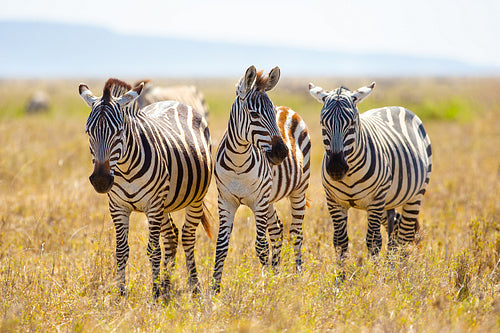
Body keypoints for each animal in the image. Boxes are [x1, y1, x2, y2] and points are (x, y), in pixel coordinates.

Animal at [79, 78, 212, 298]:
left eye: (120, 131)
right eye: (89, 132)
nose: (101, 180)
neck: (125, 169)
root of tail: (174, 101)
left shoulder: (153, 205)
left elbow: (153, 250)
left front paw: (155, 293)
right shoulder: (118, 207)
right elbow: (121, 250)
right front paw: (121, 294)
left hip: (195, 198)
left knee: (187, 236)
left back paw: (194, 287)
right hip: (165, 204)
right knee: (171, 236)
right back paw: (167, 286)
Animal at [212, 65, 312, 290]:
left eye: (272, 112)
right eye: (253, 113)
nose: (281, 153)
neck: (238, 163)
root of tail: (288, 109)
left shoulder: (258, 202)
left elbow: (260, 246)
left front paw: (265, 286)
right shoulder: (225, 201)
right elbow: (221, 246)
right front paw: (214, 289)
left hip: (298, 190)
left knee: (296, 233)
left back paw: (298, 275)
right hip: (270, 199)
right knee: (276, 230)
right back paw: (276, 273)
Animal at [306, 81, 432, 260]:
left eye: (352, 123)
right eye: (322, 123)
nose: (336, 168)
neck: (349, 175)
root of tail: (395, 107)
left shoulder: (376, 200)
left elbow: (374, 242)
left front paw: (374, 268)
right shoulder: (334, 201)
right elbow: (340, 242)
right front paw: (342, 269)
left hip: (415, 195)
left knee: (405, 236)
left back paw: (401, 267)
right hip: (388, 201)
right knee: (395, 228)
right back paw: (392, 264)